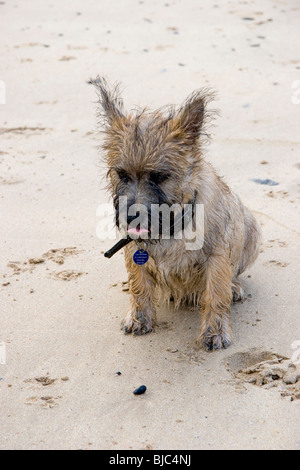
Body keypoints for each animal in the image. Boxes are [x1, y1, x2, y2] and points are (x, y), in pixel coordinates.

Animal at [92, 77, 262, 348]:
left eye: (160, 176)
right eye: (121, 174)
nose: (130, 217)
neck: (171, 226)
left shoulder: (216, 255)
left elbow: (216, 292)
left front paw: (215, 330)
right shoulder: (134, 250)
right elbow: (139, 286)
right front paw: (139, 317)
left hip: (252, 230)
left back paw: (234, 286)